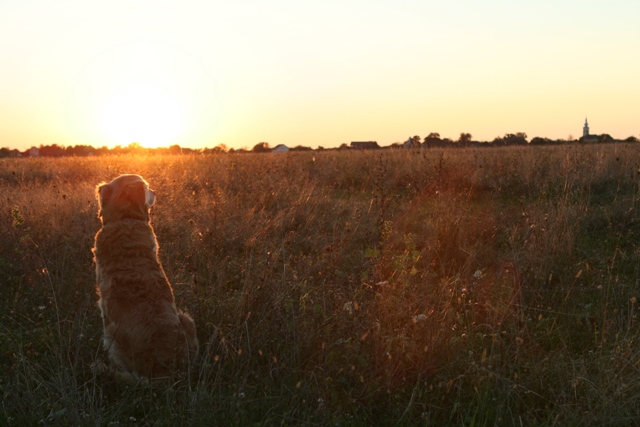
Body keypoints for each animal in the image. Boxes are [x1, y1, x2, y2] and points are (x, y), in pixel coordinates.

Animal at [92, 176, 198, 380]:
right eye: (147, 187)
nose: (155, 192)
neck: (126, 218)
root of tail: (169, 370)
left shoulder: (104, 307)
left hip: (112, 335)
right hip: (186, 318)